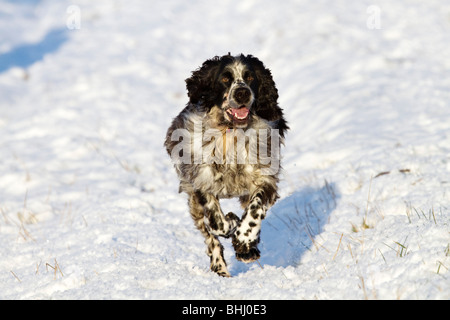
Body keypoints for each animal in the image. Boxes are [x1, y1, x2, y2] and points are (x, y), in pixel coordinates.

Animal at [165, 53, 288, 276]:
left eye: (250, 77)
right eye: (224, 78)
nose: (242, 93)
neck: (231, 132)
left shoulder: (265, 180)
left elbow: (255, 210)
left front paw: (244, 241)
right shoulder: (201, 181)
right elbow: (217, 223)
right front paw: (231, 223)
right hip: (193, 202)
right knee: (210, 237)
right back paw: (220, 268)